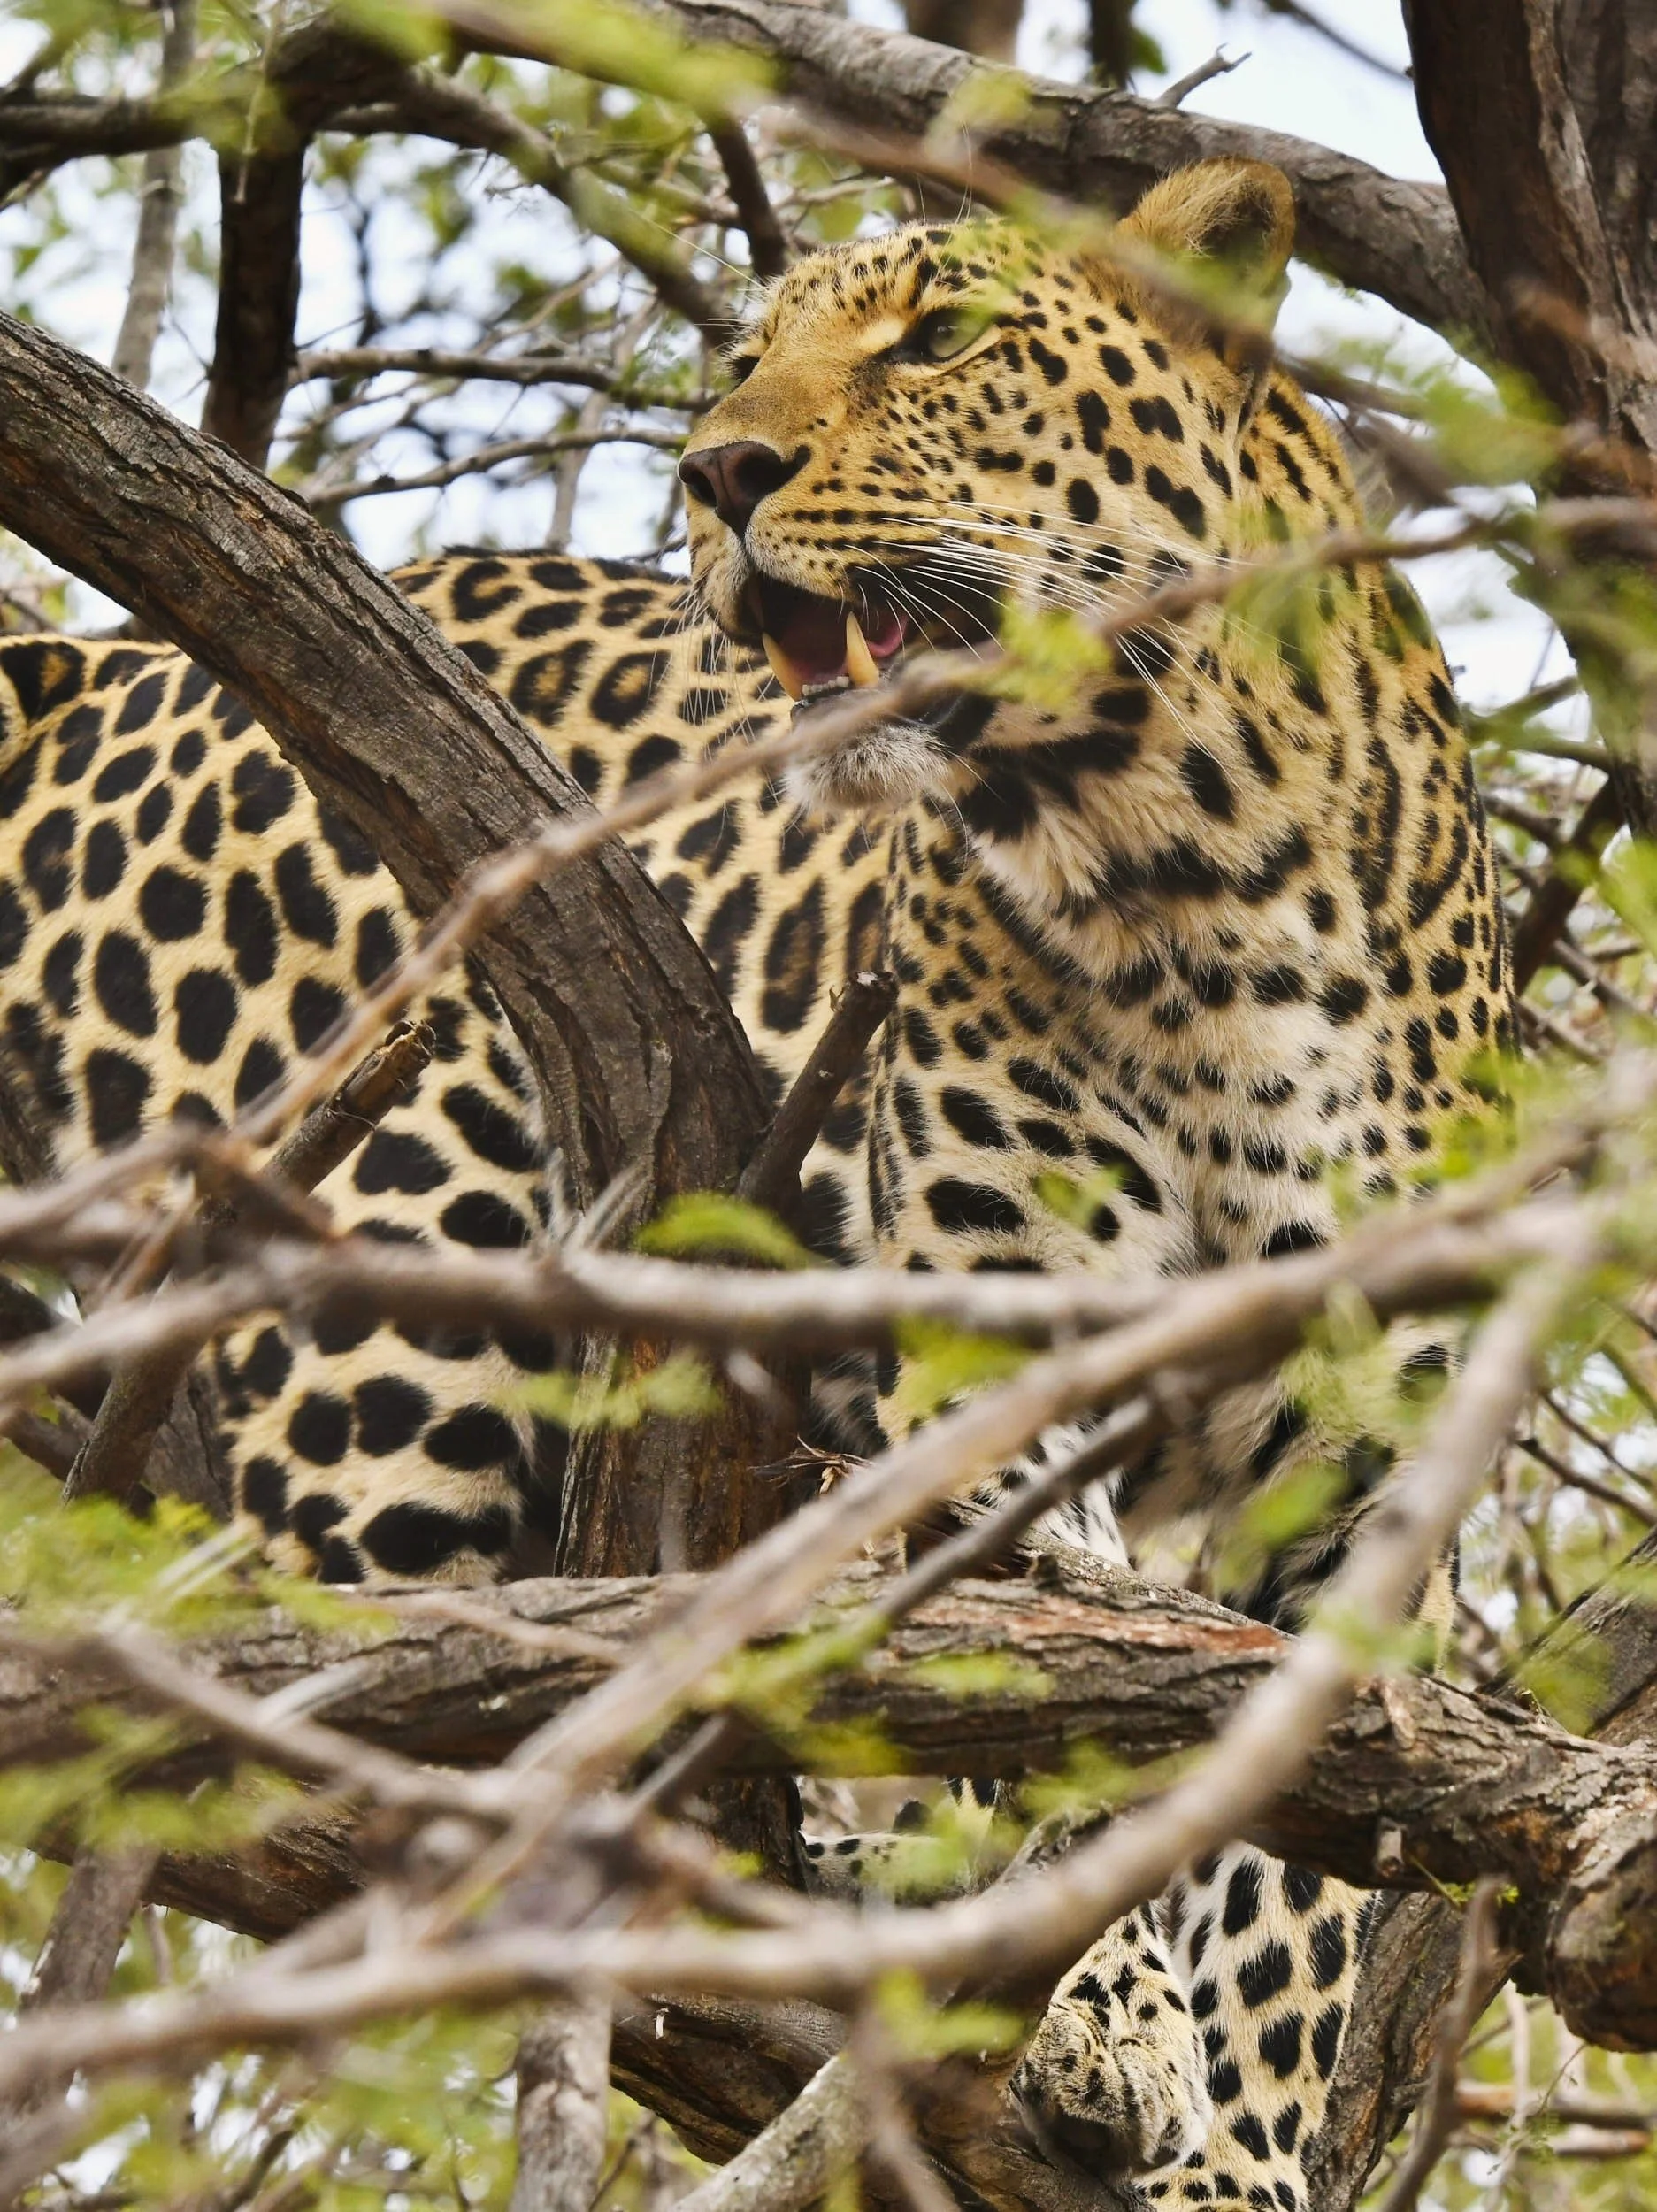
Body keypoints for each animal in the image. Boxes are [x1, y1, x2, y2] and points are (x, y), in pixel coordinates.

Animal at [0, 159, 1510, 2209]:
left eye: (940, 337)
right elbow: (1047, 1697)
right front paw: (1096, 2016)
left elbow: (1290, 1861)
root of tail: (109, 659)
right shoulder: (992, 1358)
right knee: (402, 1731)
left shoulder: (1356, 1468)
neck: (1188, 883)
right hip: (396, 1269)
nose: (716, 469)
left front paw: (1245, 2144)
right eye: (742, 359)